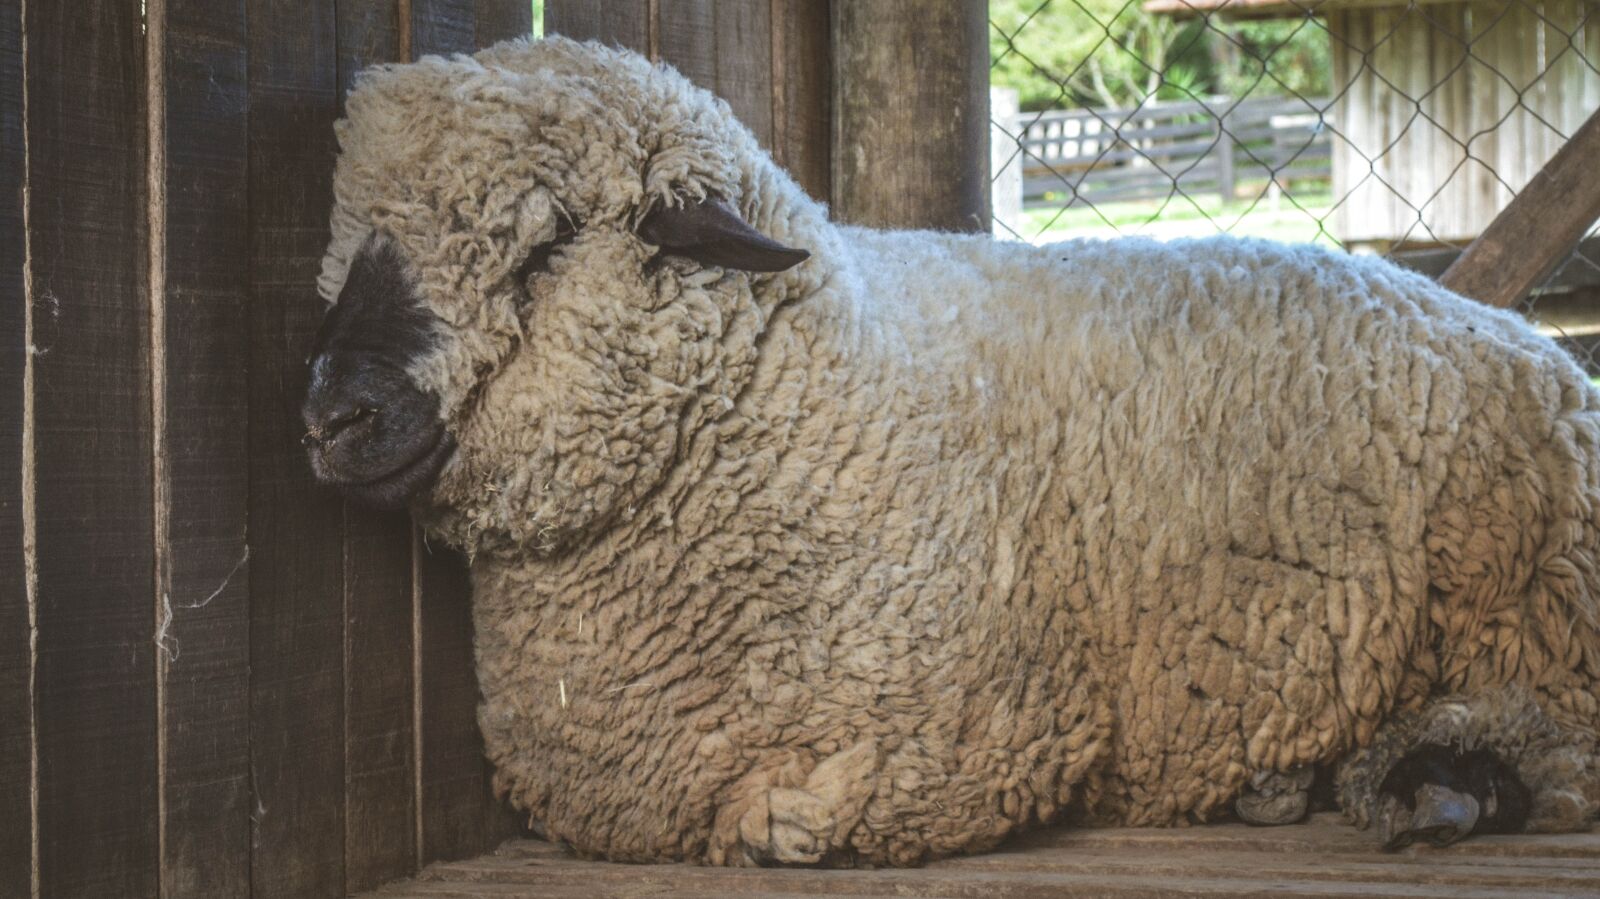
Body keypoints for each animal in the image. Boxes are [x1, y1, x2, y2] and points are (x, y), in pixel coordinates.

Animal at [301, 36, 1600, 866]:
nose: (333, 416)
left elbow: (790, 825)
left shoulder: (968, 740)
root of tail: (1540, 348)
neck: (810, 389)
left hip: (1529, 598)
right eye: (348, 238)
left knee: (1554, 737)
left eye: (551, 241)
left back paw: (1438, 785)